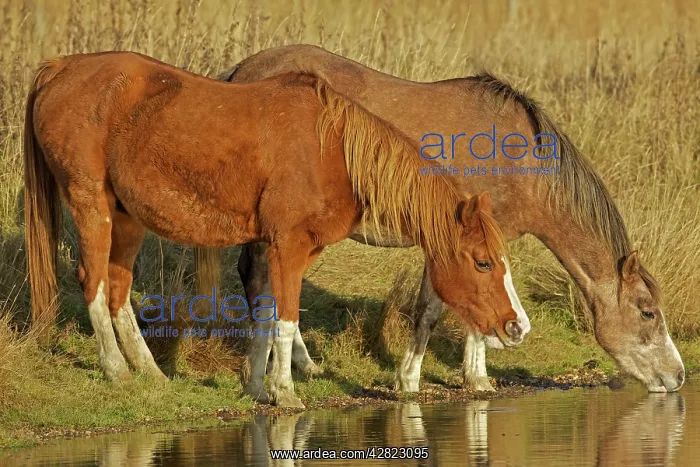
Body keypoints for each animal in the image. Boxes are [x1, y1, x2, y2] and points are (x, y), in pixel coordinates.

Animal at [24, 51, 528, 408]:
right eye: (483, 262)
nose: (517, 326)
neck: (331, 151)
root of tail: (61, 68)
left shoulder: (283, 248)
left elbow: (266, 315)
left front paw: (255, 385)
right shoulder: (288, 245)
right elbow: (285, 318)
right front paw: (285, 391)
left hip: (127, 217)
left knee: (118, 291)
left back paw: (150, 372)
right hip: (92, 205)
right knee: (93, 283)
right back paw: (115, 369)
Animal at [193, 44, 685, 393]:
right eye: (647, 312)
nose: (679, 376)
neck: (522, 160)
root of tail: (240, 73)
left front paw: (473, 376)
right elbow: (434, 310)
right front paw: (412, 379)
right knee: (261, 279)